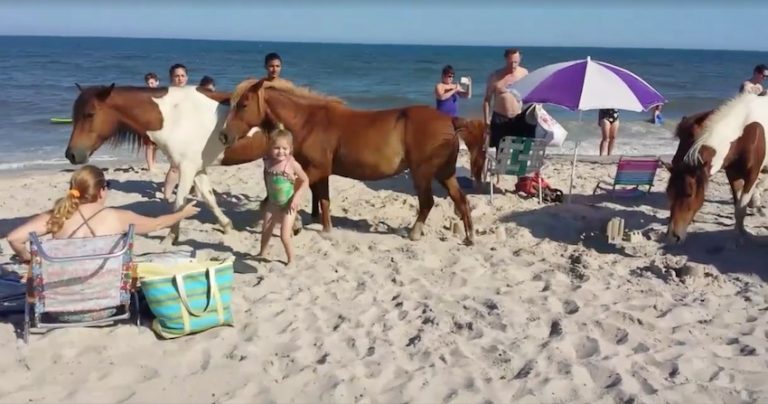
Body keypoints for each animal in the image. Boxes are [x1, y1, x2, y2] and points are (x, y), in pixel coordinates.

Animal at [64, 83, 234, 244]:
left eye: (90, 114)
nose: (70, 154)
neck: (175, 117)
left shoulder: (187, 168)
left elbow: (179, 204)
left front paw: (170, 238)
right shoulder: (196, 168)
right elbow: (209, 198)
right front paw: (227, 226)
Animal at [219, 78, 475, 244]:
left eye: (243, 104)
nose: (224, 136)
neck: (308, 122)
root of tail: (450, 121)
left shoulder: (315, 169)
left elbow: (284, 198)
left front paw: (298, 225)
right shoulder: (321, 172)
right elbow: (323, 201)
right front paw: (325, 230)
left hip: (422, 173)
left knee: (427, 202)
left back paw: (414, 233)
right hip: (445, 173)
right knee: (461, 200)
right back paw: (470, 237)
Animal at [665, 93, 768, 243]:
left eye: (690, 194)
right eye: (669, 193)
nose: (673, 236)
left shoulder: (751, 176)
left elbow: (740, 208)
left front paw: (741, 236)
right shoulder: (733, 175)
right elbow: (738, 207)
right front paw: (739, 232)